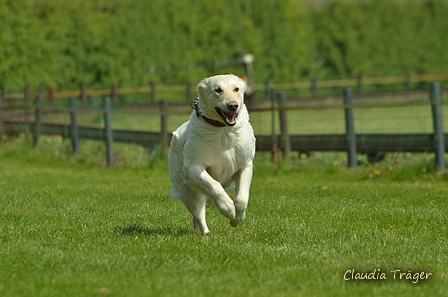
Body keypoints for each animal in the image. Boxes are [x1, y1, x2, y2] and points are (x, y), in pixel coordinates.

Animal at [169, 74, 256, 234]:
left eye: (236, 89)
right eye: (218, 90)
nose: (233, 105)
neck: (223, 130)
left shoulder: (245, 164)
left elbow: (241, 199)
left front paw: (236, 219)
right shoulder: (192, 168)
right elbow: (214, 185)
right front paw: (228, 208)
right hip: (189, 191)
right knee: (198, 212)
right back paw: (205, 233)